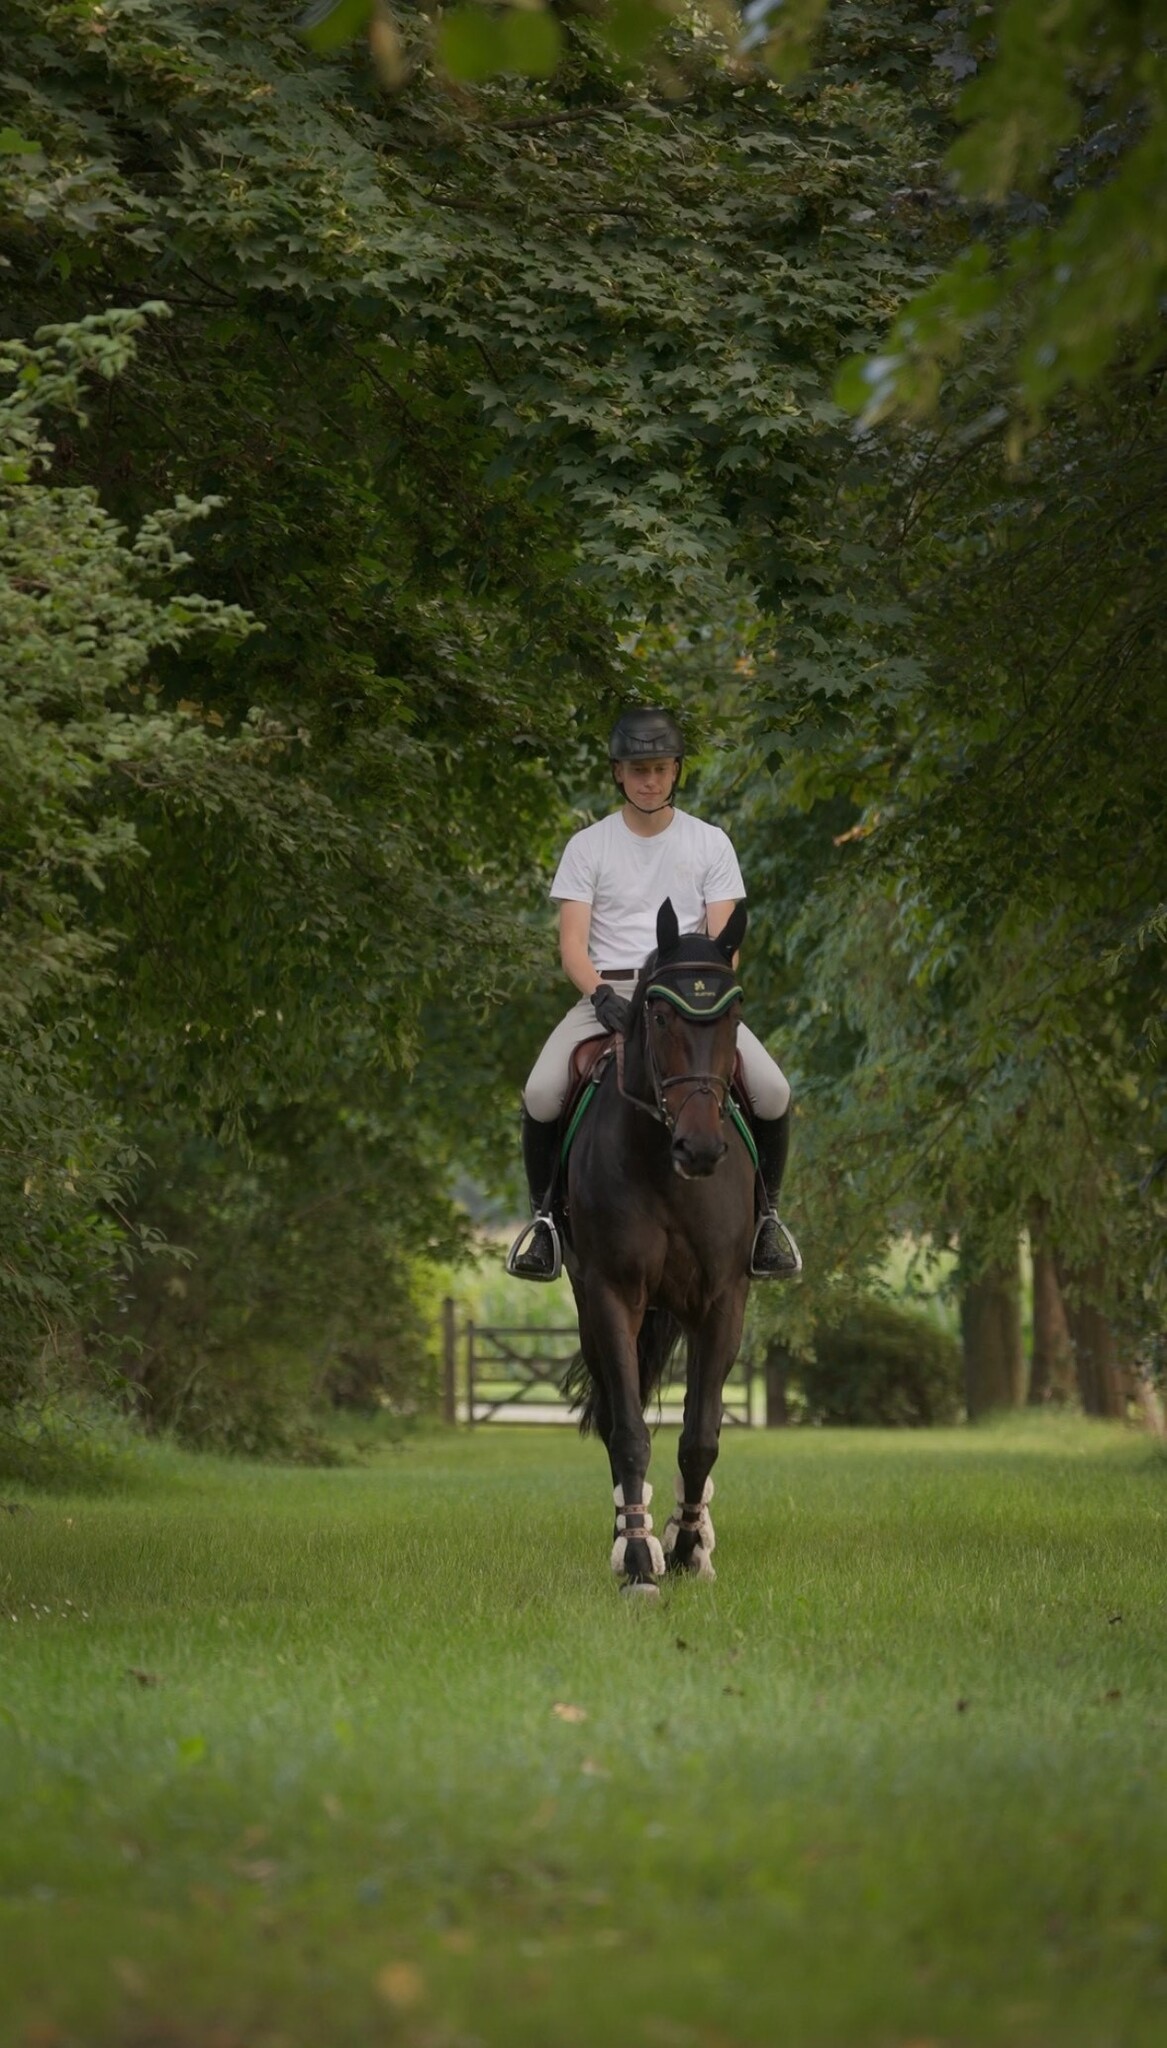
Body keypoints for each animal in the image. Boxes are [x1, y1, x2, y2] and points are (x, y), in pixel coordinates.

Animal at [562, 896, 755, 1594]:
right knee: (620, 1415)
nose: (699, 1149)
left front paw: (689, 1548)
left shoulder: (722, 1301)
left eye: (734, 1014)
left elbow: (700, 1436)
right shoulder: (612, 1295)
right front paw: (641, 1561)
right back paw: (630, 1533)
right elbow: (628, 1432)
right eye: (661, 1013)